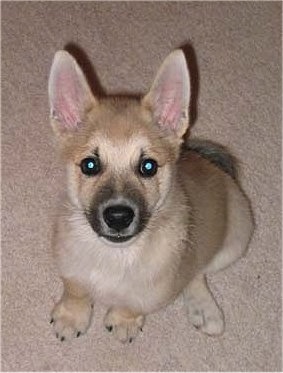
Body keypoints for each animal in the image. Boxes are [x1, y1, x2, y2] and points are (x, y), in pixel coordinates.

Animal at [47, 49, 254, 342]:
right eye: (90, 165)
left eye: (148, 166)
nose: (118, 217)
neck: (114, 256)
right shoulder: (70, 265)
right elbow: (75, 288)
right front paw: (72, 315)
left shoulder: (154, 289)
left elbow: (132, 303)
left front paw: (123, 320)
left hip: (233, 245)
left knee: (198, 273)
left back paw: (204, 309)